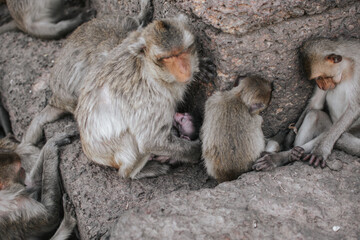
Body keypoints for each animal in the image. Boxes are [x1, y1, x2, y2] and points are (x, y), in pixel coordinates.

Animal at [253, 37, 360, 172]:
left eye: (320, 77)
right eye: (317, 79)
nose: (320, 86)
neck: (347, 69)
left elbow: (354, 109)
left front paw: (321, 150)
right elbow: (315, 105)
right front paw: (288, 141)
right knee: (314, 115)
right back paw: (290, 155)